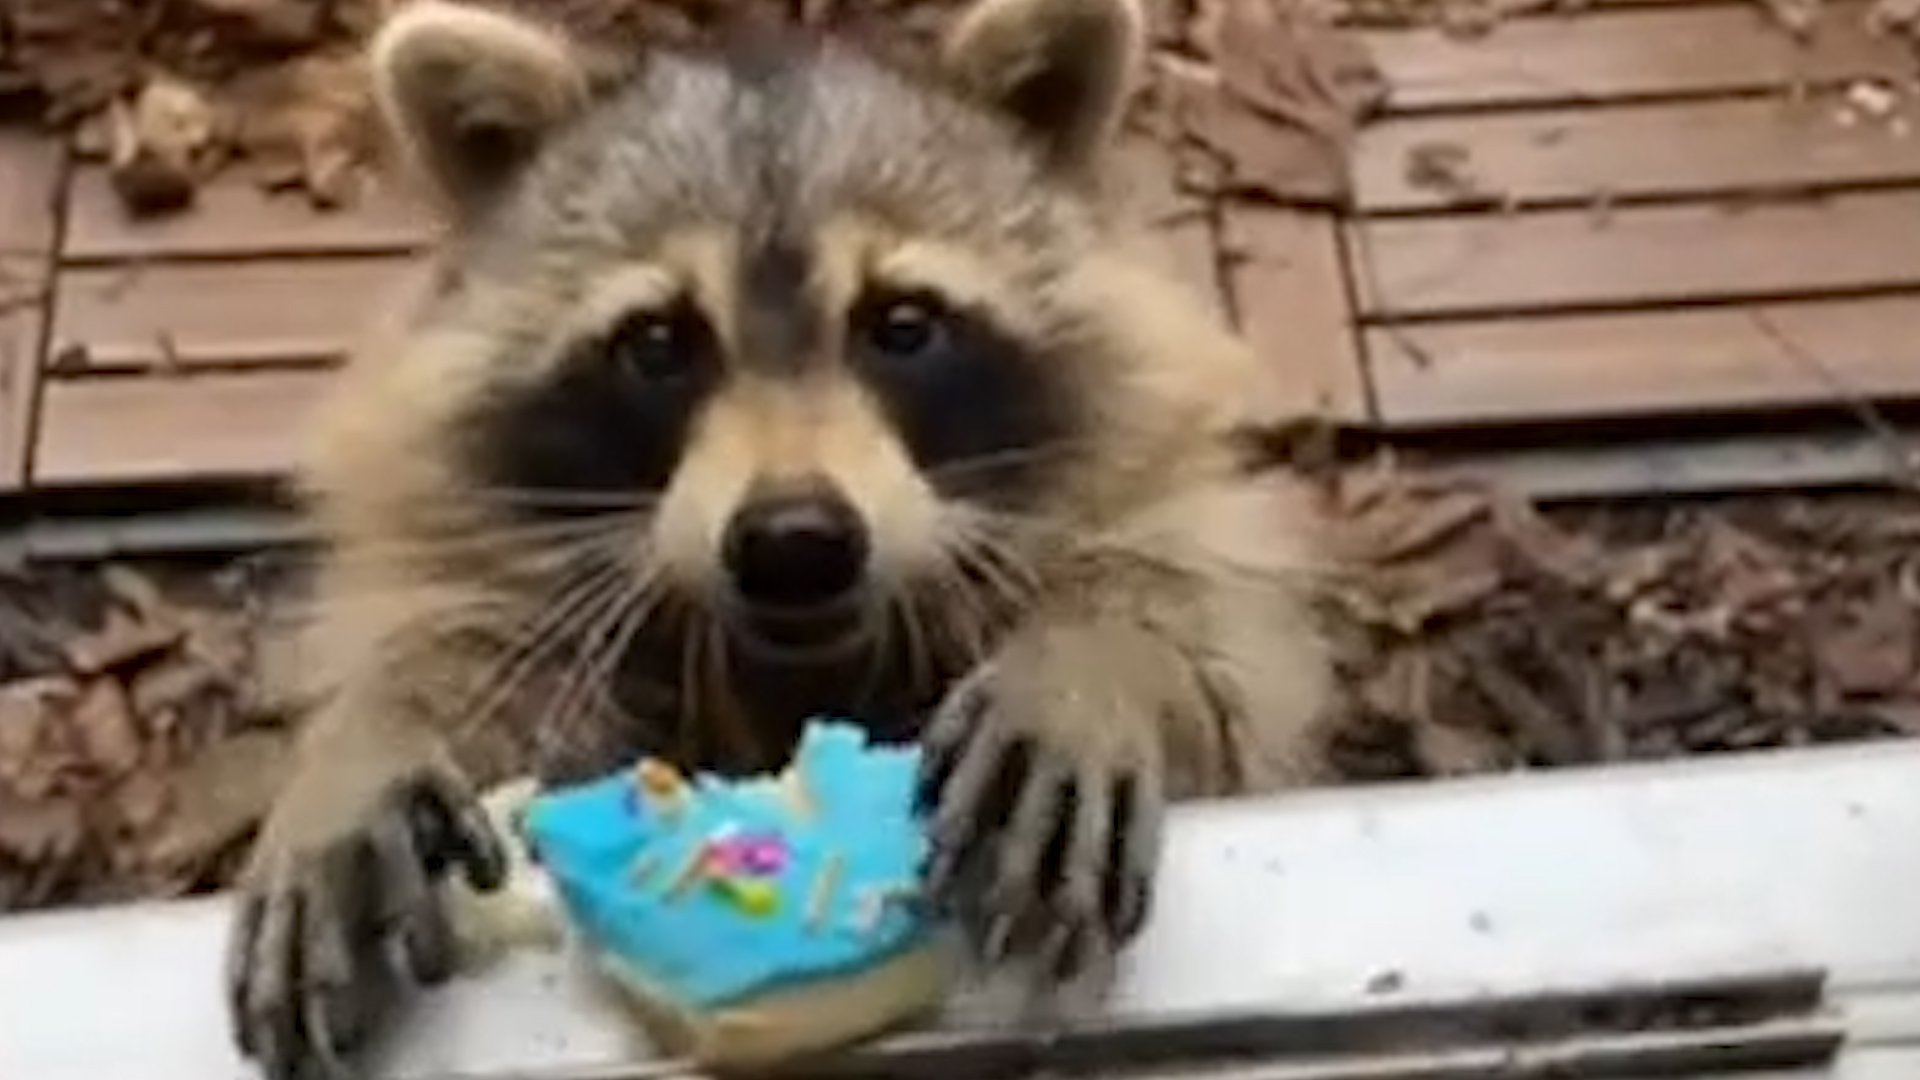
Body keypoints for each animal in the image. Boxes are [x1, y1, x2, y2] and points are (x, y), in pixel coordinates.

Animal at [224, 0, 1336, 1068]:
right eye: (657, 343)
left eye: (903, 326)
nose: (794, 542)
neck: (801, 658)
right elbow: (479, 676)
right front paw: (371, 746)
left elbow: (1208, 665)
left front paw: (1092, 661)